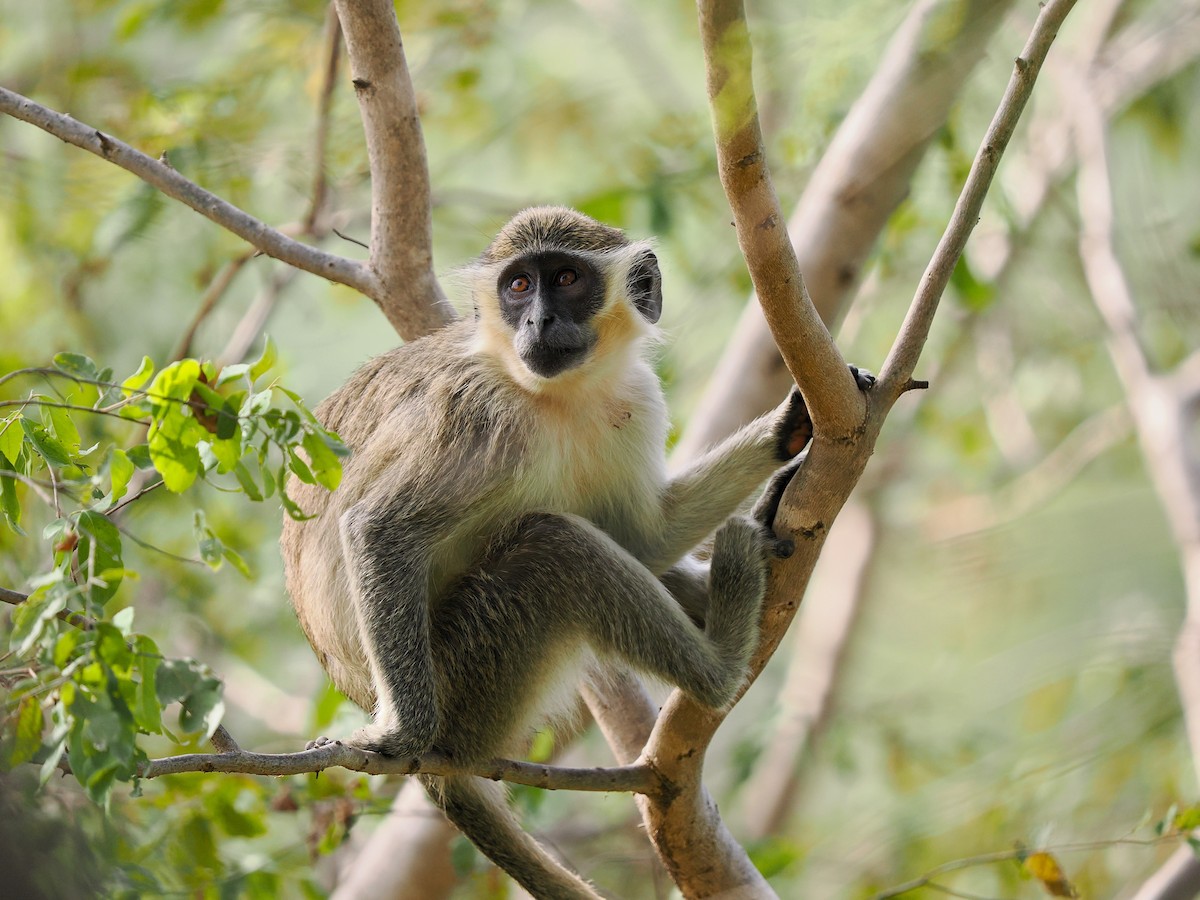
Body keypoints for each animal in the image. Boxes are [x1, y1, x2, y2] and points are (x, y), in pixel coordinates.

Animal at [280, 207, 874, 899]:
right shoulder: (479, 414)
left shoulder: (635, 397)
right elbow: (379, 529)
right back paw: (721, 663)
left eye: (565, 278)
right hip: (471, 680)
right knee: (553, 544)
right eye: (517, 286)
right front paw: (402, 733)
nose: (537, 320)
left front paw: (789, 428)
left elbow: (645, 536)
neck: (553, 394)